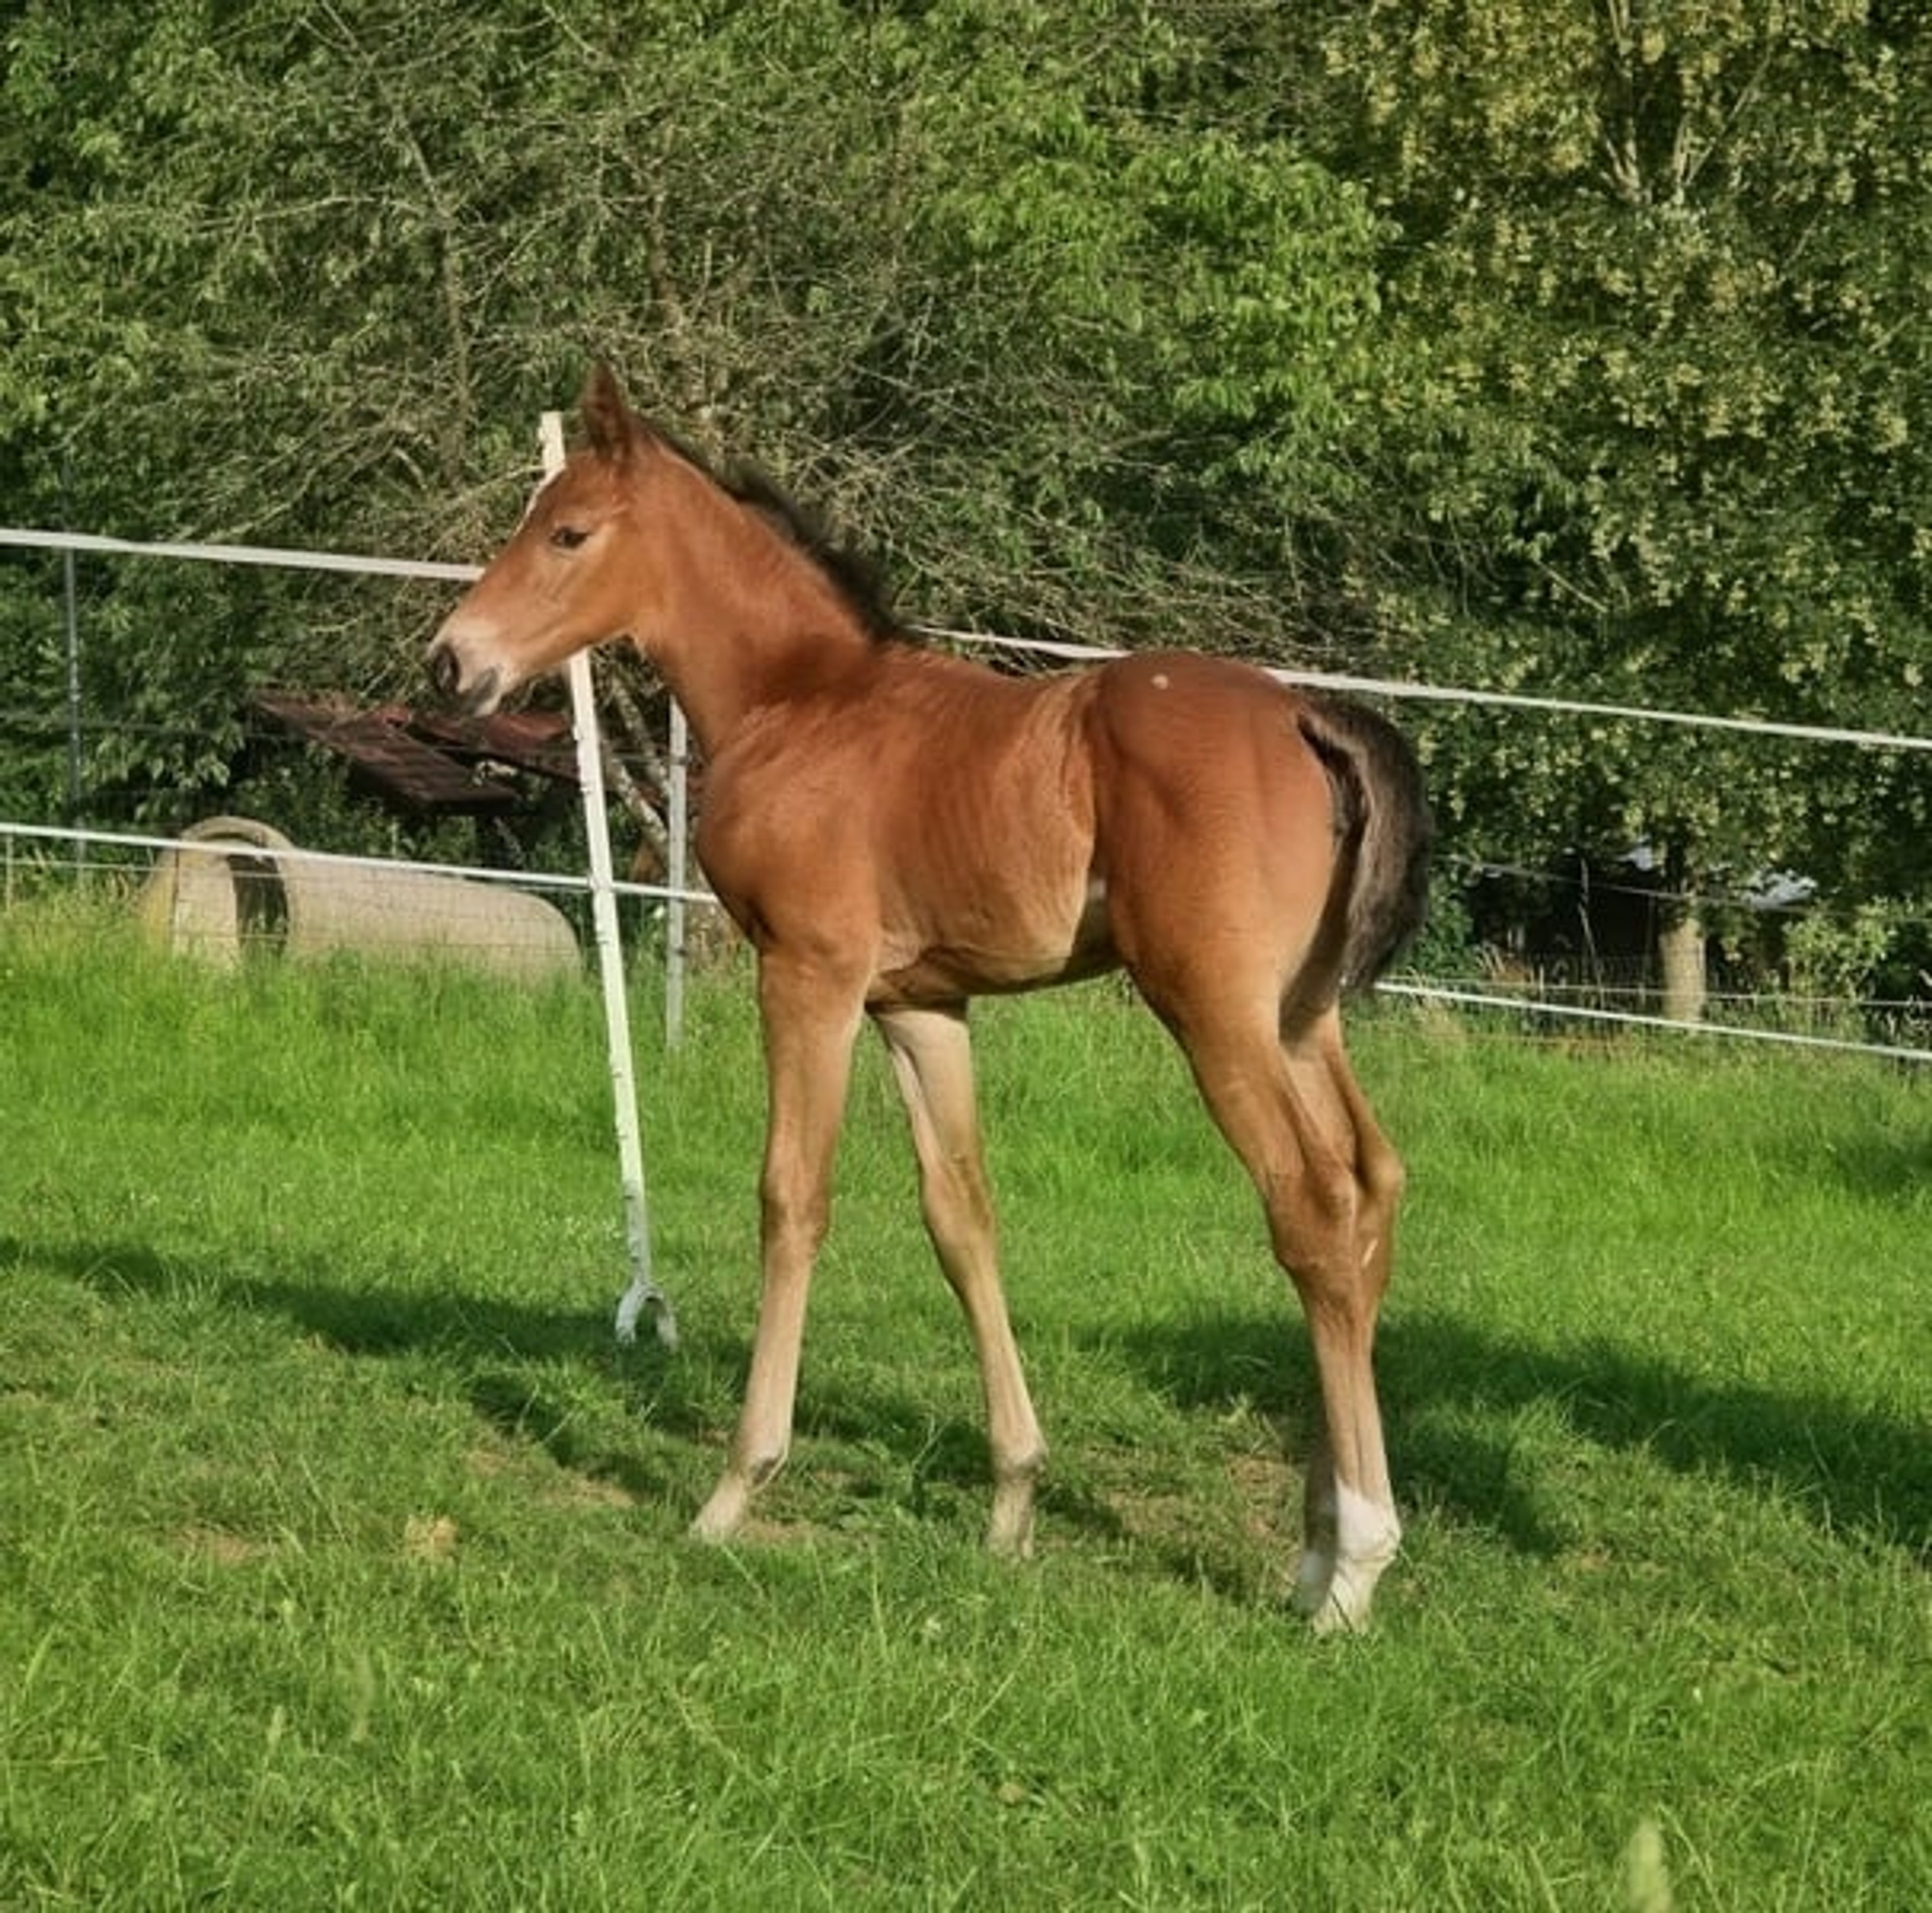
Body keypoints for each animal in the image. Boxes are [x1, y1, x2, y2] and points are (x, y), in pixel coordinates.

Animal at [428, 365, 1432, 1632]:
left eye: (567, 532)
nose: (451, 665)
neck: (801, 702)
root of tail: (1307, 715)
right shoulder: (919, 1006)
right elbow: (961, 1215)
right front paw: (1011, 1503)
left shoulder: (808, 973)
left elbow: (791, 1198)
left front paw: (734, 1488)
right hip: (1300, 1015)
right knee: (1370, 1186)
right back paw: (1313, 1542)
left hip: (1214, 1012)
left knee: (1309, 1203)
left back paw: (1351, 1565)